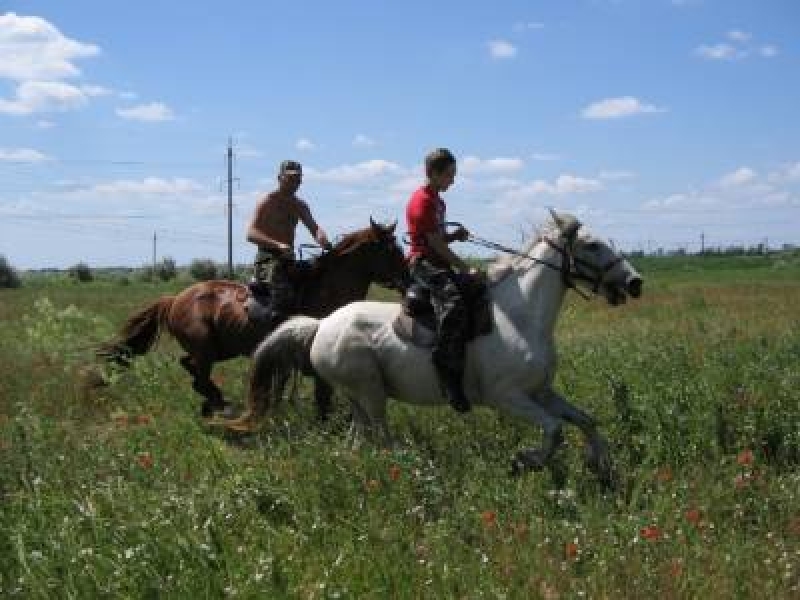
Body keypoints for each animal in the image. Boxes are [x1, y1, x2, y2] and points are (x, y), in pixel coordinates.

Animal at [99, 219, 406, 418]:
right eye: (392, 251)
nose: (410, 280)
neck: (324, 291)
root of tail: (175, 299)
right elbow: (320, 393)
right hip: (206, 348)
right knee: (199, 376)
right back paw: (219, 404)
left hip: (220, 349)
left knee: (189, 366)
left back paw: (214, 403)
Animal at [228, 213, 640, 480]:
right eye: (592, 245)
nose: (635, 282)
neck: (520, 318)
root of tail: (321, 325)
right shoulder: (507, 397)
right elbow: (554, 431)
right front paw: (526, 460)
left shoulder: (540, 391)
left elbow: (585, 420)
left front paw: (601, 466)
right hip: (370, 392)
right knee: (382, 438)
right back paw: (412, 468)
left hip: (356, 397)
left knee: (359, 439)